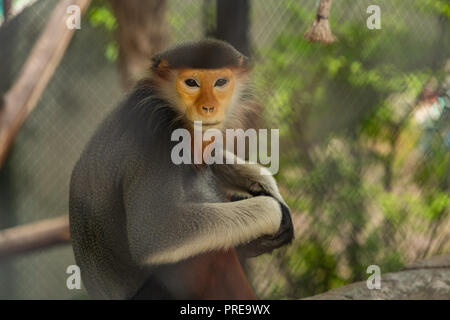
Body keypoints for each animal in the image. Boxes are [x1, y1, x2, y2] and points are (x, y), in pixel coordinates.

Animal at [69, 38, 296, 298]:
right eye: (191, 83)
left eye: (220, 82)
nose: (208, 107)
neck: (171, 111)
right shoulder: (156, 138)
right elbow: (154, 235)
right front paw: (276, 211)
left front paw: (266, 185)